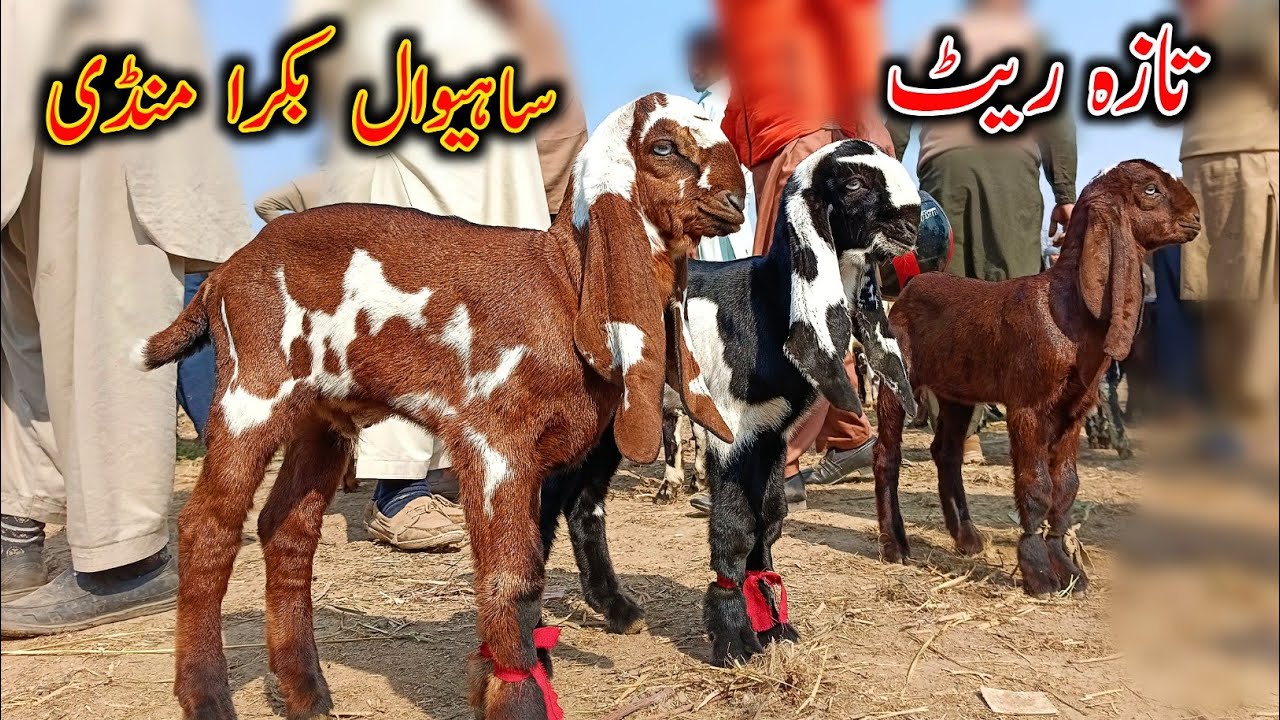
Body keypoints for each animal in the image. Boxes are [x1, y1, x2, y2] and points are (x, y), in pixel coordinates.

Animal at [135, 93, 746, 720]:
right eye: (663, 147)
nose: (735, 201)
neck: (561, 281)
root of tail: (222, 276)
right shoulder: (494, 441)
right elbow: (511, 577)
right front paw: (518, 695)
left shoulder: (538, 460)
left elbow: (532, 566)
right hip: (250, 394)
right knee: (207, 528)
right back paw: (207, 696)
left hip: (318, 418)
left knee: (287, 530)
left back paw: (307, 691)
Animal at [540, 140, 923, 663]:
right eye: (853, 183)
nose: (913, 221)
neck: (765, 303)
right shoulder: (731, 430)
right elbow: (736, 527)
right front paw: (734, 638)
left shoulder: (771, 433)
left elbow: (770, 519)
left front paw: (774, 627)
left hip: (610, 427)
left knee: (582, 505)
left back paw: (618, 609)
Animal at [873, 160, 1200, 596]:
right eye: (1151, 189)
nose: (1196, 218)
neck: (1065, 309)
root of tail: (912, 286)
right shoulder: (1027, 406)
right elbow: (1035, 487)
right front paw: (1039, 573)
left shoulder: (1074, 411)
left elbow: (1066, 488)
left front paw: (1068, 569)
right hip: (897, 378)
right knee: (886, 455)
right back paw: (895, 545)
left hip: (958, 391)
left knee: (947, 452)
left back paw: (967, 538)